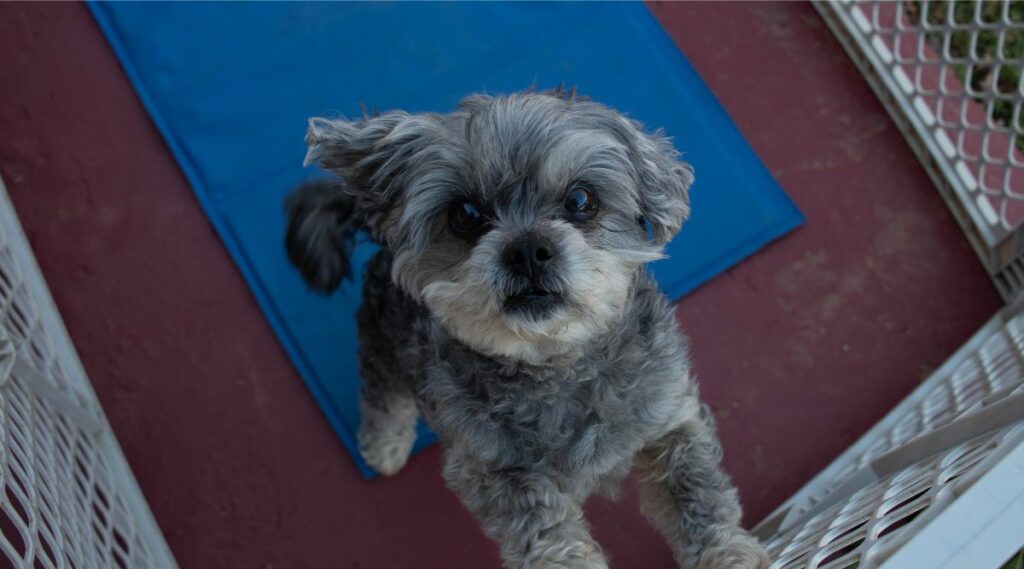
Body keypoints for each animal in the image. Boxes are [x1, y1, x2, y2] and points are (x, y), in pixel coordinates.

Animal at [284, 91, 765, 564]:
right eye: (466, 213)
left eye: (580, 200)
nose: (529, 250)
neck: (553, 364)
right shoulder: (493, 470)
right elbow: (546, 533)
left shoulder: (670, 418)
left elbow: (698, 495)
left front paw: (729, 552)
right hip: (382, 340)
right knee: (383, 396)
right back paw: (385, 445)